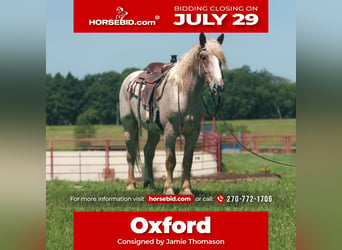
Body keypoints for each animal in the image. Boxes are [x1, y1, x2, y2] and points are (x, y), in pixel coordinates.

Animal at [119, 32, 226, 194]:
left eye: (220, 59)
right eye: (203, 57)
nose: (218, 87)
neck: (183, 93)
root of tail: (130, 78)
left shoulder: (193, 133)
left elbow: (187, 161)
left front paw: (186, 189)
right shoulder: (170, 132)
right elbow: (170, 161)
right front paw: (169, 189)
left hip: (153, 130)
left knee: (148, 152)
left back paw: (150, 184)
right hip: (129, 125)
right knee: (130, 153)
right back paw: (131, 184)